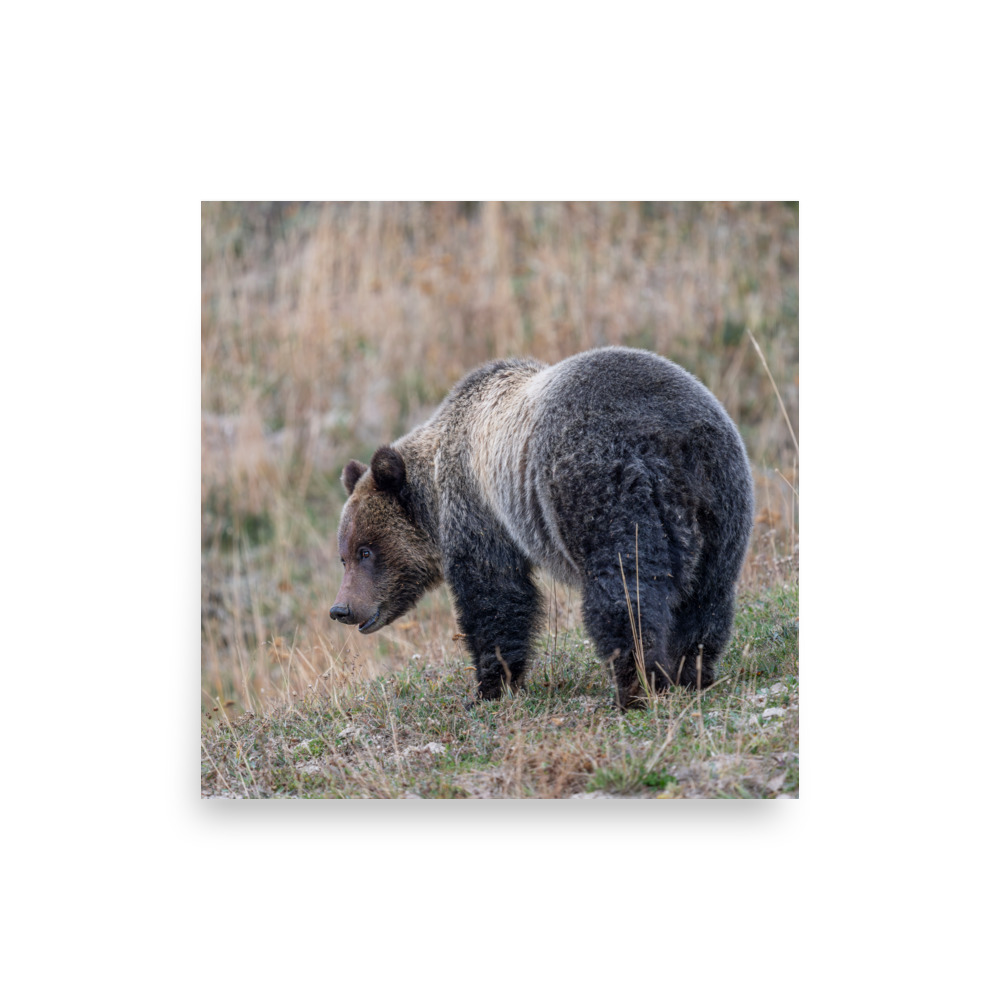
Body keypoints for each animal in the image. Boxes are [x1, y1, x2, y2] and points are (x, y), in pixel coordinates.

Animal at [329, 346, 754, 709]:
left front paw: (489, 687)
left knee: (624, 591)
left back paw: (635, 687)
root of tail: (671, 439)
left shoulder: (479, 511)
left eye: (366, 550)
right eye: (344, 556)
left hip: (602, 487)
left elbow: (495, 596)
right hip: (722, 500)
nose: (341, 609)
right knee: (707, 594)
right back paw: (691, 672)